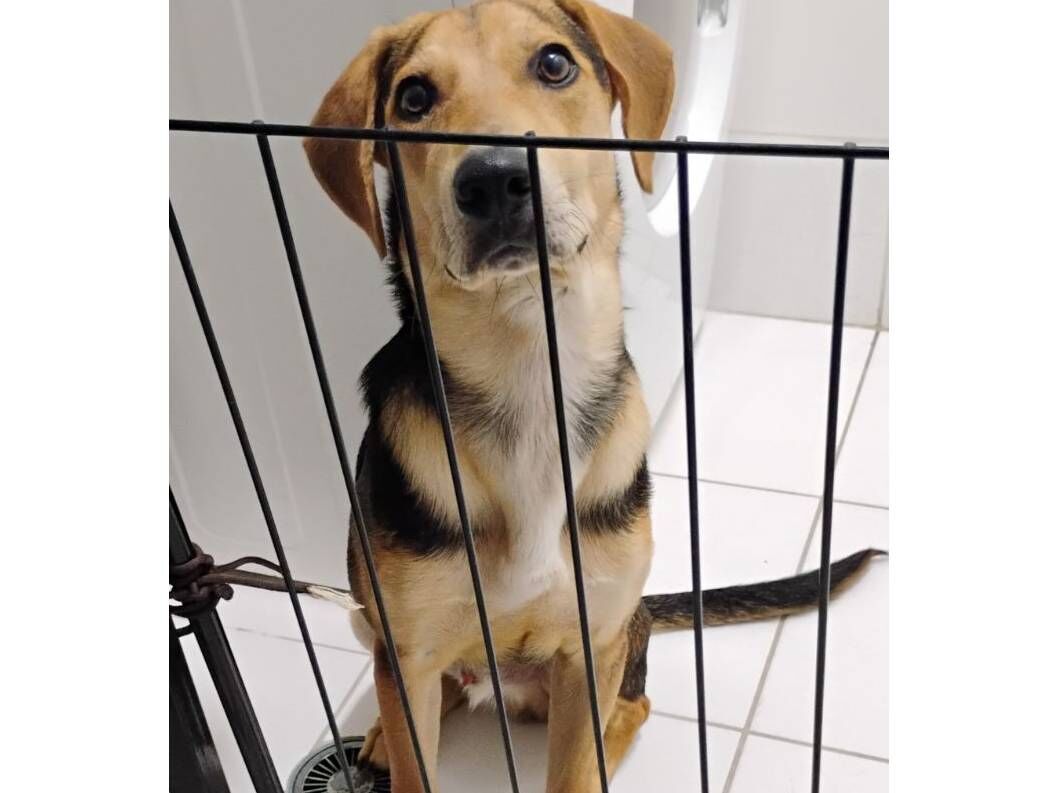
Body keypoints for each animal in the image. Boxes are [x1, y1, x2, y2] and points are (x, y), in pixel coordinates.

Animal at [304, 2, 882, 791]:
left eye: (554, 64)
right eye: (413, 98)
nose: (493, 180)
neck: (527, 369)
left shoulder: (590, 645)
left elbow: (577, 765)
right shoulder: (410, 649)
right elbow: (414, 738)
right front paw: (395, 747)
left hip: (620, 632)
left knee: (633, 705)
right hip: (371, 623)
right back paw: (380, 741)